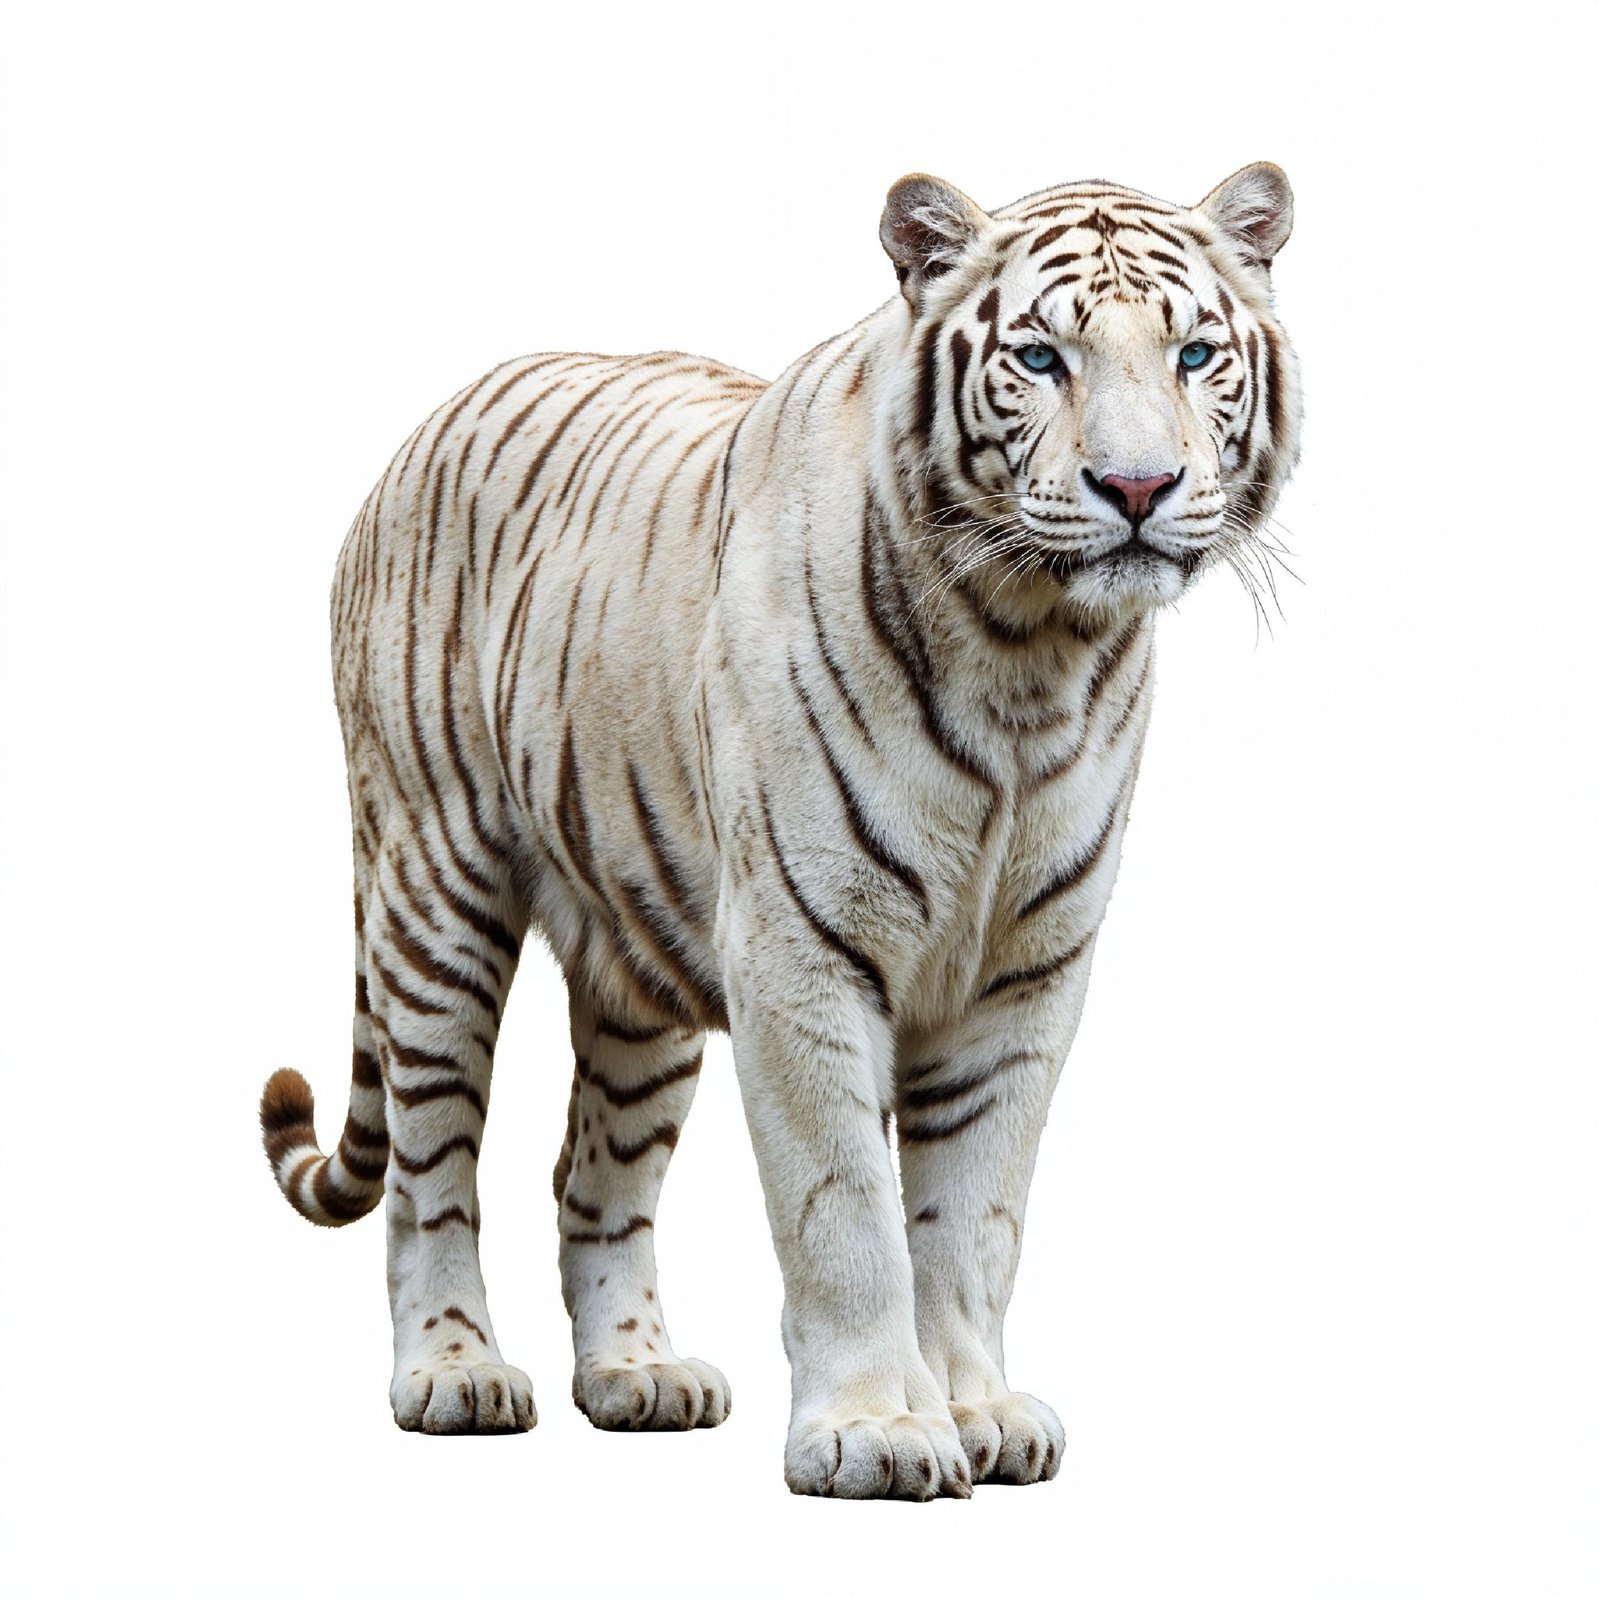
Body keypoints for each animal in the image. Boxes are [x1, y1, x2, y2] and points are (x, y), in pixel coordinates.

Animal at [259, 161, 1301, 1499]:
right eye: (1038, 357)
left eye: (1193, 354)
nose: (1136, 490)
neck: (1033, 653)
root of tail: (420, 429)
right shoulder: (802, 947)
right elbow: (846, 1208)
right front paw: (875, 1431)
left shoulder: (1025, 975)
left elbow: (973, 1214)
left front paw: (976, 1409)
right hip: (432, 900)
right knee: (429, 1168)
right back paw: (455, 1373)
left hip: (636, 970)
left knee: (590, 1175)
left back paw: (638, 1373)